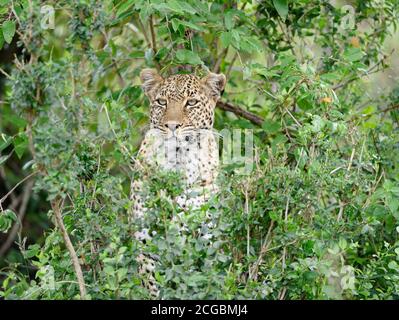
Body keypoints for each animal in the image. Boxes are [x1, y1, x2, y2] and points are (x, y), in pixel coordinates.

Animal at [130, 67, 227, 298]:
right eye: (161, 102)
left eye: (191, 102)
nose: (172, 125)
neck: (179, 161)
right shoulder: (145, 240)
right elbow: (153, 284)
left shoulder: (205, 237)